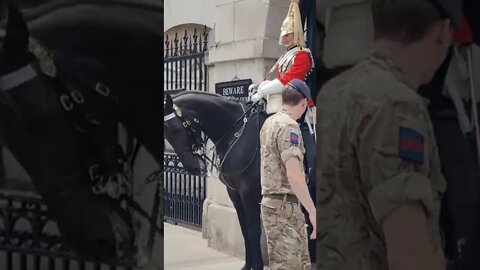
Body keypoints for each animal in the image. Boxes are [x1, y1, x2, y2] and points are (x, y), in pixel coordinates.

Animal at [163, 91, 264, 270]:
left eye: (175, 129)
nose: (193, 168)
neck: (236, 133)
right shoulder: (235, 193)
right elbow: (244, 230)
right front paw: (247, 265)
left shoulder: (250, 193)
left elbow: (253, 231)